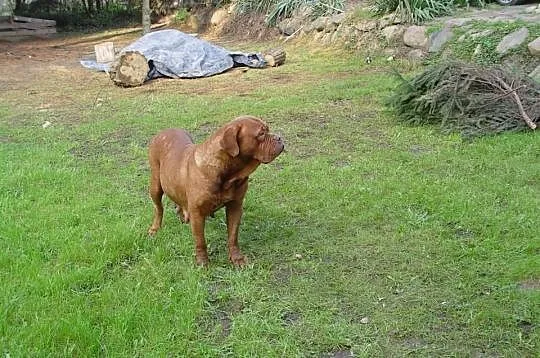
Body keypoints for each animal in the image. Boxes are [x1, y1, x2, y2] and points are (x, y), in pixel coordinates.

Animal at [146, 114, 284, 266]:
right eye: (261, 134)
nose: (279, 137)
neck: (228, 173)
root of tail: (163, 132)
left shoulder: (235, 206)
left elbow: (233, 236)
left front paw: (237, 258)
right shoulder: (197, 213)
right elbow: (200, 241)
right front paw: (202, 262)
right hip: (155, 184)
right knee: (159, 208)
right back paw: (155, 228)